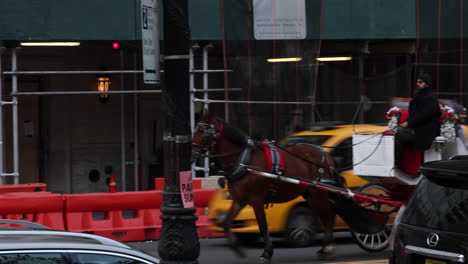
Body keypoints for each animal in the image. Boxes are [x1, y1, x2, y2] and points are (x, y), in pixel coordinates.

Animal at [192, 112, 346, 264]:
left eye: (202, 130)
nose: (192, 152)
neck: (245, 161)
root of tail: (325, 155)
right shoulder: (240, 200)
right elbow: (226, 222)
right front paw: (237, 247)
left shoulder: (256, 200)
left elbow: (263, 225)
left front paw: (267, 253)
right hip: (311, 194)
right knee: (325, 214)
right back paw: (325, 246)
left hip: (319, 192)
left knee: (328, 214)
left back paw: (328, 247)